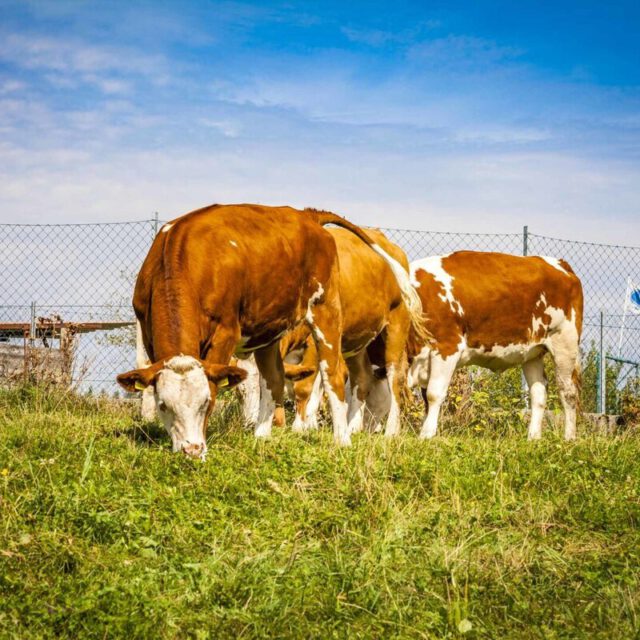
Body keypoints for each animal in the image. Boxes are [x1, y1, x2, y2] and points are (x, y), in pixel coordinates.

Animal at [279, 228, 426, 436]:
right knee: (363, 378)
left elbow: (306, 386)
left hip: (396, 328)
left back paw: (390, 432)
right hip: (358, 341)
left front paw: (300, 427)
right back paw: (353, 428)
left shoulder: (316, 341)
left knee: (395, 377)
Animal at [407, 251, 583, 440]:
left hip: (565, 343)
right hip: (533, 353)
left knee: (568, 392)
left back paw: (569, 437)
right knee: (539, 392)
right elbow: (425, 397)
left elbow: (433, 394)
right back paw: (533, 438)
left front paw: (426, 435)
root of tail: (560, 264)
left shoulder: (447, 347)